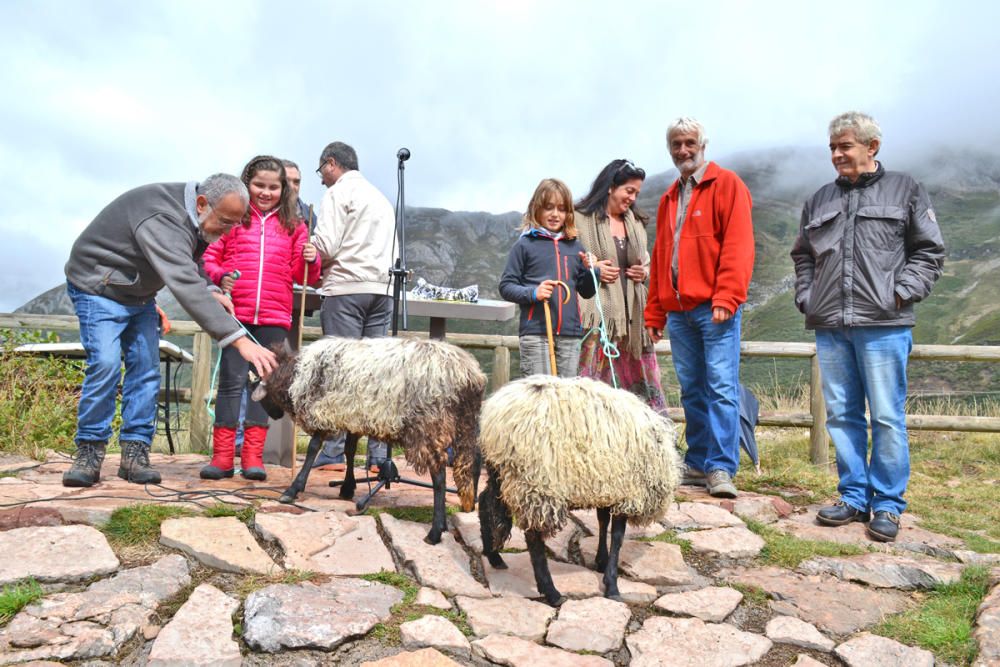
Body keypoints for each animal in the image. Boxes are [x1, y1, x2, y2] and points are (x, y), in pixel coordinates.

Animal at [250, 336, 484, 544]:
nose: (274, 416)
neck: (295, 375)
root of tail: (469, 375)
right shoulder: (352, 416)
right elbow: (349, 450)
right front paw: (347, 487)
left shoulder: (323, 413)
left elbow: (312, 449)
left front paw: (292, 490)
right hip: (464, 425)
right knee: (471, 464)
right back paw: (460, 512)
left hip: (430, 424)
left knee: (439, 477)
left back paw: (435, 532)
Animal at [478, 376, 680, 604]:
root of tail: (495, 418)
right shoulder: (627, 492)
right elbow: (617, 537)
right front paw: (612, 584)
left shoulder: (607, 485)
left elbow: (603, 522)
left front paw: (601, 561)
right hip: (536, 481)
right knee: (533, 537)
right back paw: (551, 592)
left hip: (499, 472)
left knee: (484, 501)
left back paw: (493, 556)